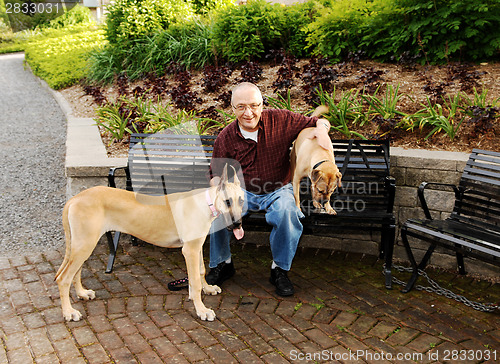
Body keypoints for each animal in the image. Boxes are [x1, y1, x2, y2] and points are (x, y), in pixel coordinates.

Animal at [54, 165, 244, 322]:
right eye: (227, 201)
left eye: (241, 200)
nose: (237, 224)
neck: (206, 202)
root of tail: (74, 199)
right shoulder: (189, 250)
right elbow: (195, 281)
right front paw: (202, 310)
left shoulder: (196, 247)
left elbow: (200, 272)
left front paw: (207, 289)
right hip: (84, 245)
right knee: (64, 278)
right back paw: (69, 312)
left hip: (82, 245)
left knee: (75, 272)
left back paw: (82, 293)